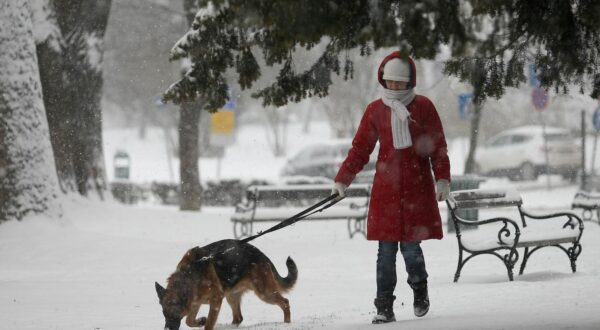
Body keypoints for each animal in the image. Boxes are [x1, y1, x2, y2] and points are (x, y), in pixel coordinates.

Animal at [154, 240, 296, 330]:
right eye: (164, 313)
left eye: (176, 313)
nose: (168, 329)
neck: (189, 273)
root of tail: (263, 256)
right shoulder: (195, 302)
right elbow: (189, 321)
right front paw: (200, 321)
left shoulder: (216, 299)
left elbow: (208, 324)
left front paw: (204, 322)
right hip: (232, 296)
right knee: (238, 318)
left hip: (265, 293)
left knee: (285, 302)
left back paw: (287, 323)